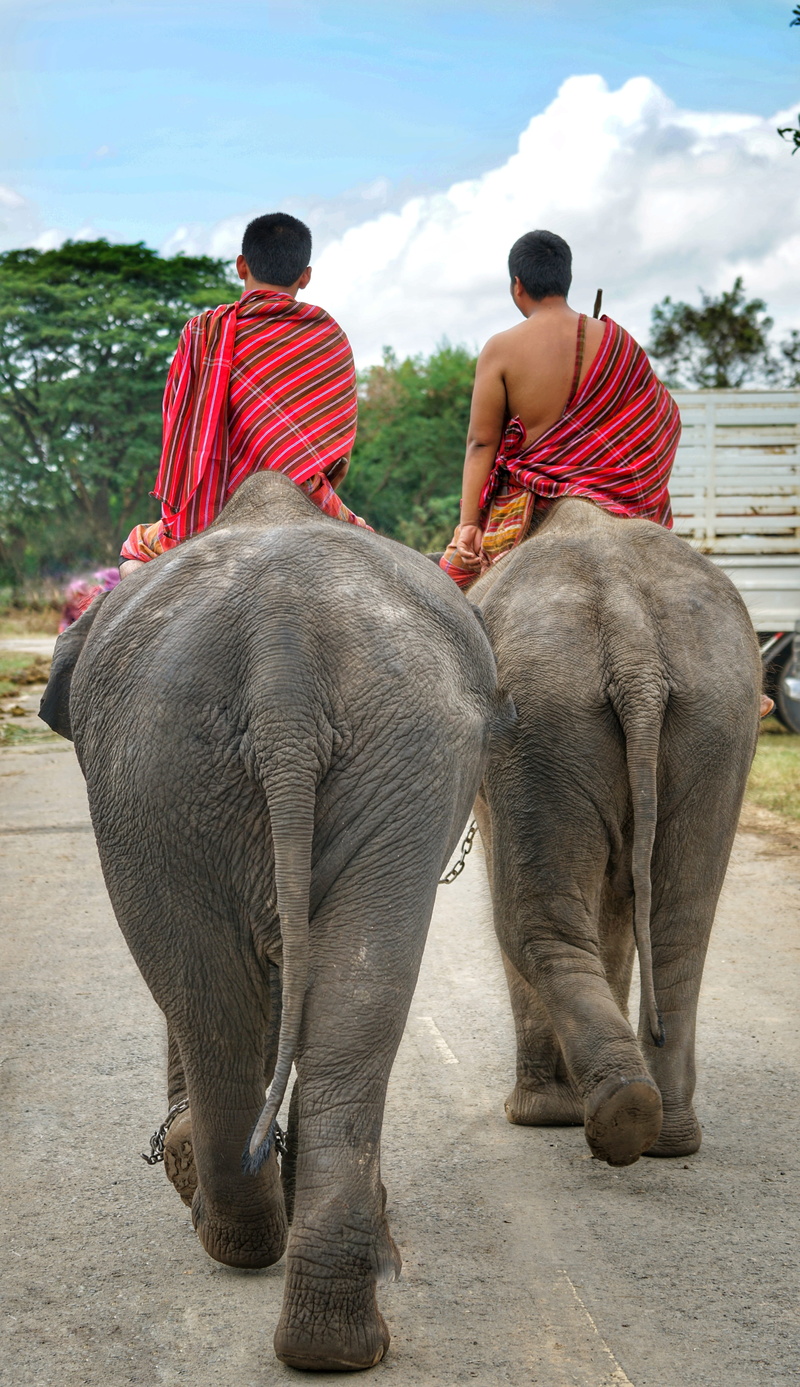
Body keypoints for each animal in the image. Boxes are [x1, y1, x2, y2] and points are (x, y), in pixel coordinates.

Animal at [40, 471, 506, 1371]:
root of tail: (281, 656)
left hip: (178, 772)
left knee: (215, 999)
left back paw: (256, 1253)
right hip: (250, 763)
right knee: (330, 1005)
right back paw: (326, 1329)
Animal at [469, 497, 761, 1168]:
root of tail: (634, 647)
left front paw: (544, 1115)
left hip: (541, 718)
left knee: (529, 919)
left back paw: (600, 1115)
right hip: (716, 711)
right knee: (680, 924)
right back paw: (661, 1133)